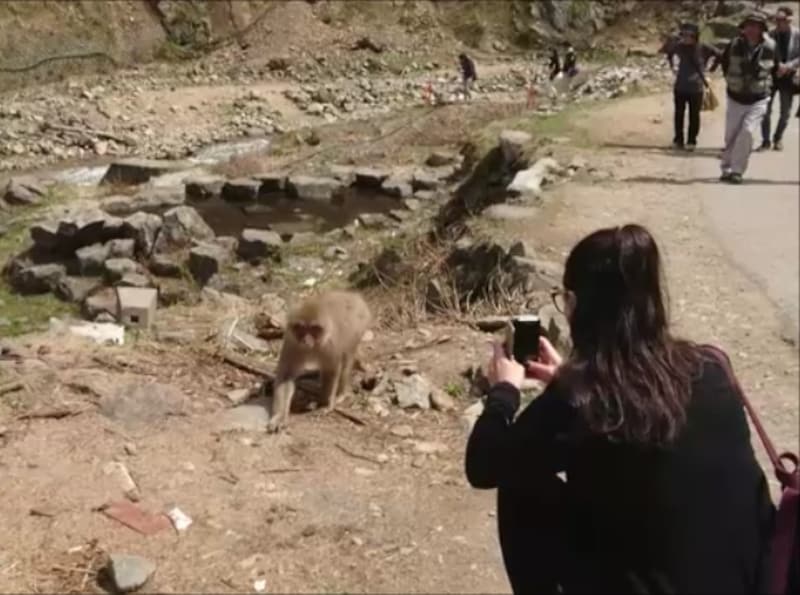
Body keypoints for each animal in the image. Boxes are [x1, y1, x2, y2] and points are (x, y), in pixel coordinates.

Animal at [266, 290, 371, 433]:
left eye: (314, 329)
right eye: (301, 327)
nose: (306, 339)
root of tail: (355, 296)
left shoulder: (330, 345)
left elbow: (331, 369)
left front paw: (326, 404)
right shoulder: (292, 342)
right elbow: (286, 376)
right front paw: (279, 416)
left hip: (358, 327)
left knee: (346, 360)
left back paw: (341, 394)